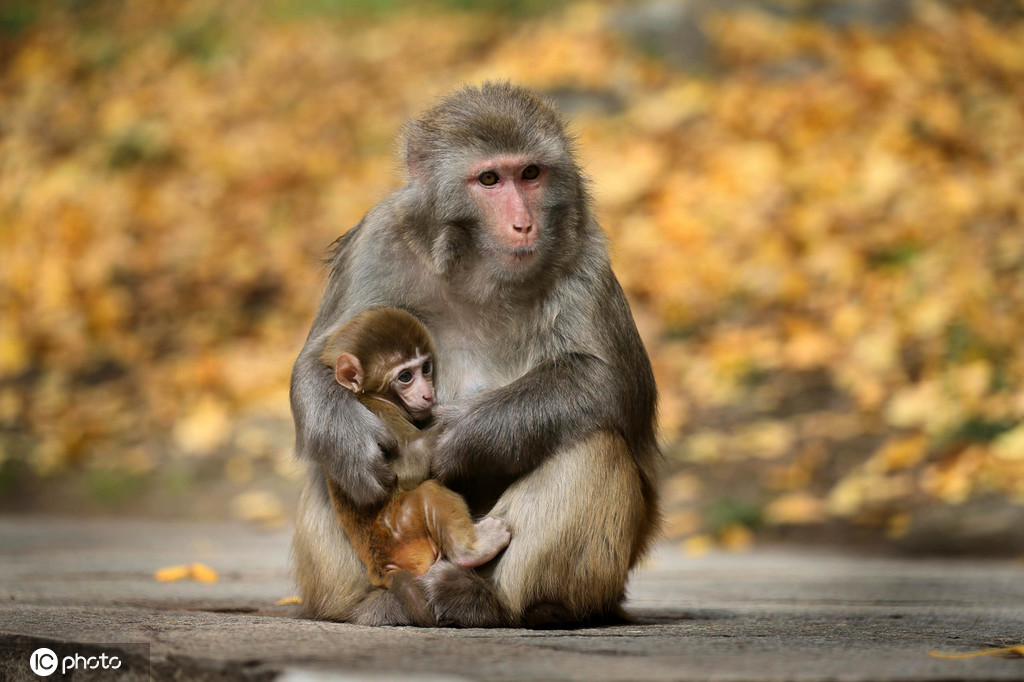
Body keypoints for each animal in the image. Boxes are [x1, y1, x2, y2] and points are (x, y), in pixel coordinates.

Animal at [319, 307, 512, 589]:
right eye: (405, 377)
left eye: (426, 367)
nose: (427, 394)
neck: (369, 395)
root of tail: (381, 569)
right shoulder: (382, 416)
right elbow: (406, 470)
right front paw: (463, 419)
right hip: (403, 528)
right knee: (429, 491)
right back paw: (474, 550)